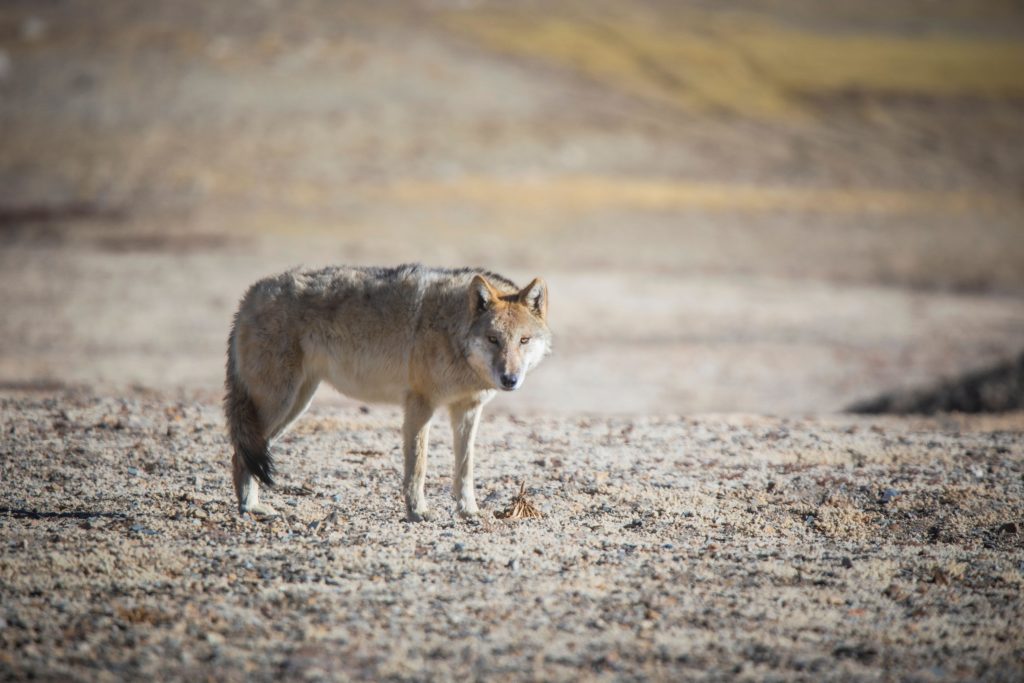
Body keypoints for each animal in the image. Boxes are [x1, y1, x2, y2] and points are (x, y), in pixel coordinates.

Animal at [225, 264, 552, 520]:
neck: (451, 327)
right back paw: (250, 508)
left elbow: (465, 468)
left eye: (523, 340)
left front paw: (468, 511)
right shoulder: (420, 404)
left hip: (295, 405)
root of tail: (252, 293)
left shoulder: (467, 410)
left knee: (246, 452)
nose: (509, 379)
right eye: (493, 339)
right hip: (279, 403)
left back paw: (252, 506)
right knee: (240, 453)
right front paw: (418, 511)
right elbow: (417, 466)